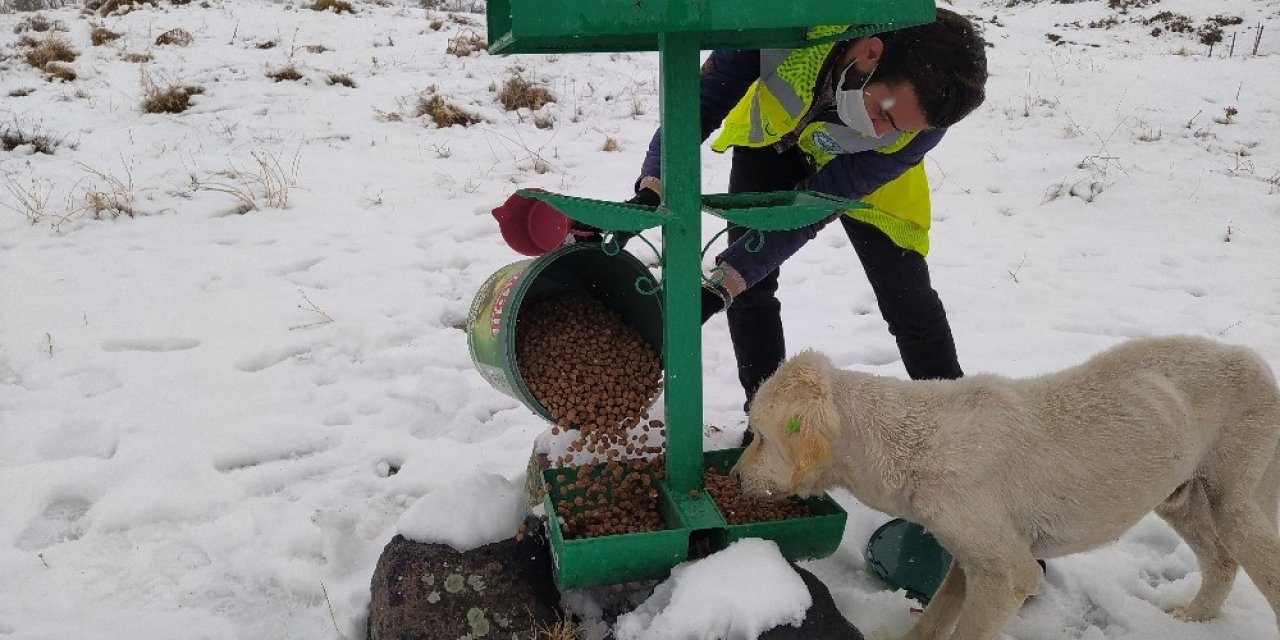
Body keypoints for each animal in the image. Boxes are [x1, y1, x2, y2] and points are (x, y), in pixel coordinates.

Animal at [732, 335, 1280, 640]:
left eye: (758, 436)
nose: (733, 478)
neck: (915, 439)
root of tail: (1253, 360)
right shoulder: (969, 559)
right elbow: (935, 617)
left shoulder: (1009, 575)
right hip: (1179, 497)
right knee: (1222, 562)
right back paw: (1194, 617)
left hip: (1235, 499)